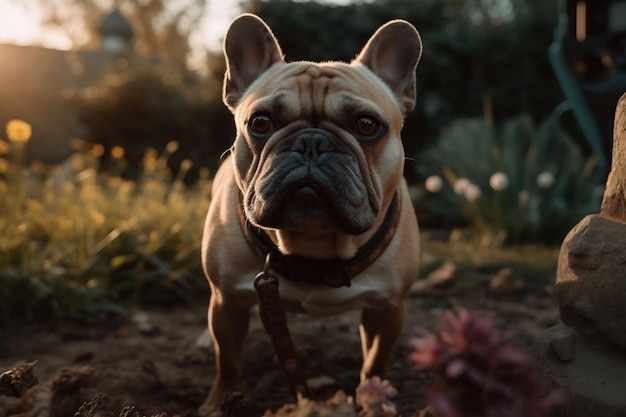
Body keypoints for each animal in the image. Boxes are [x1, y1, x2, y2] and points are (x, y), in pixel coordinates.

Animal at [200, 14, 422, 414]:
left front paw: (375, 401)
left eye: (367, 125)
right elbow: (227, 361)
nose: (311, 142)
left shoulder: (388, 309)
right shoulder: (226, 303)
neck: (315, 242)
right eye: (260, 122)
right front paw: (219, 402)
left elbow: (375, 364)